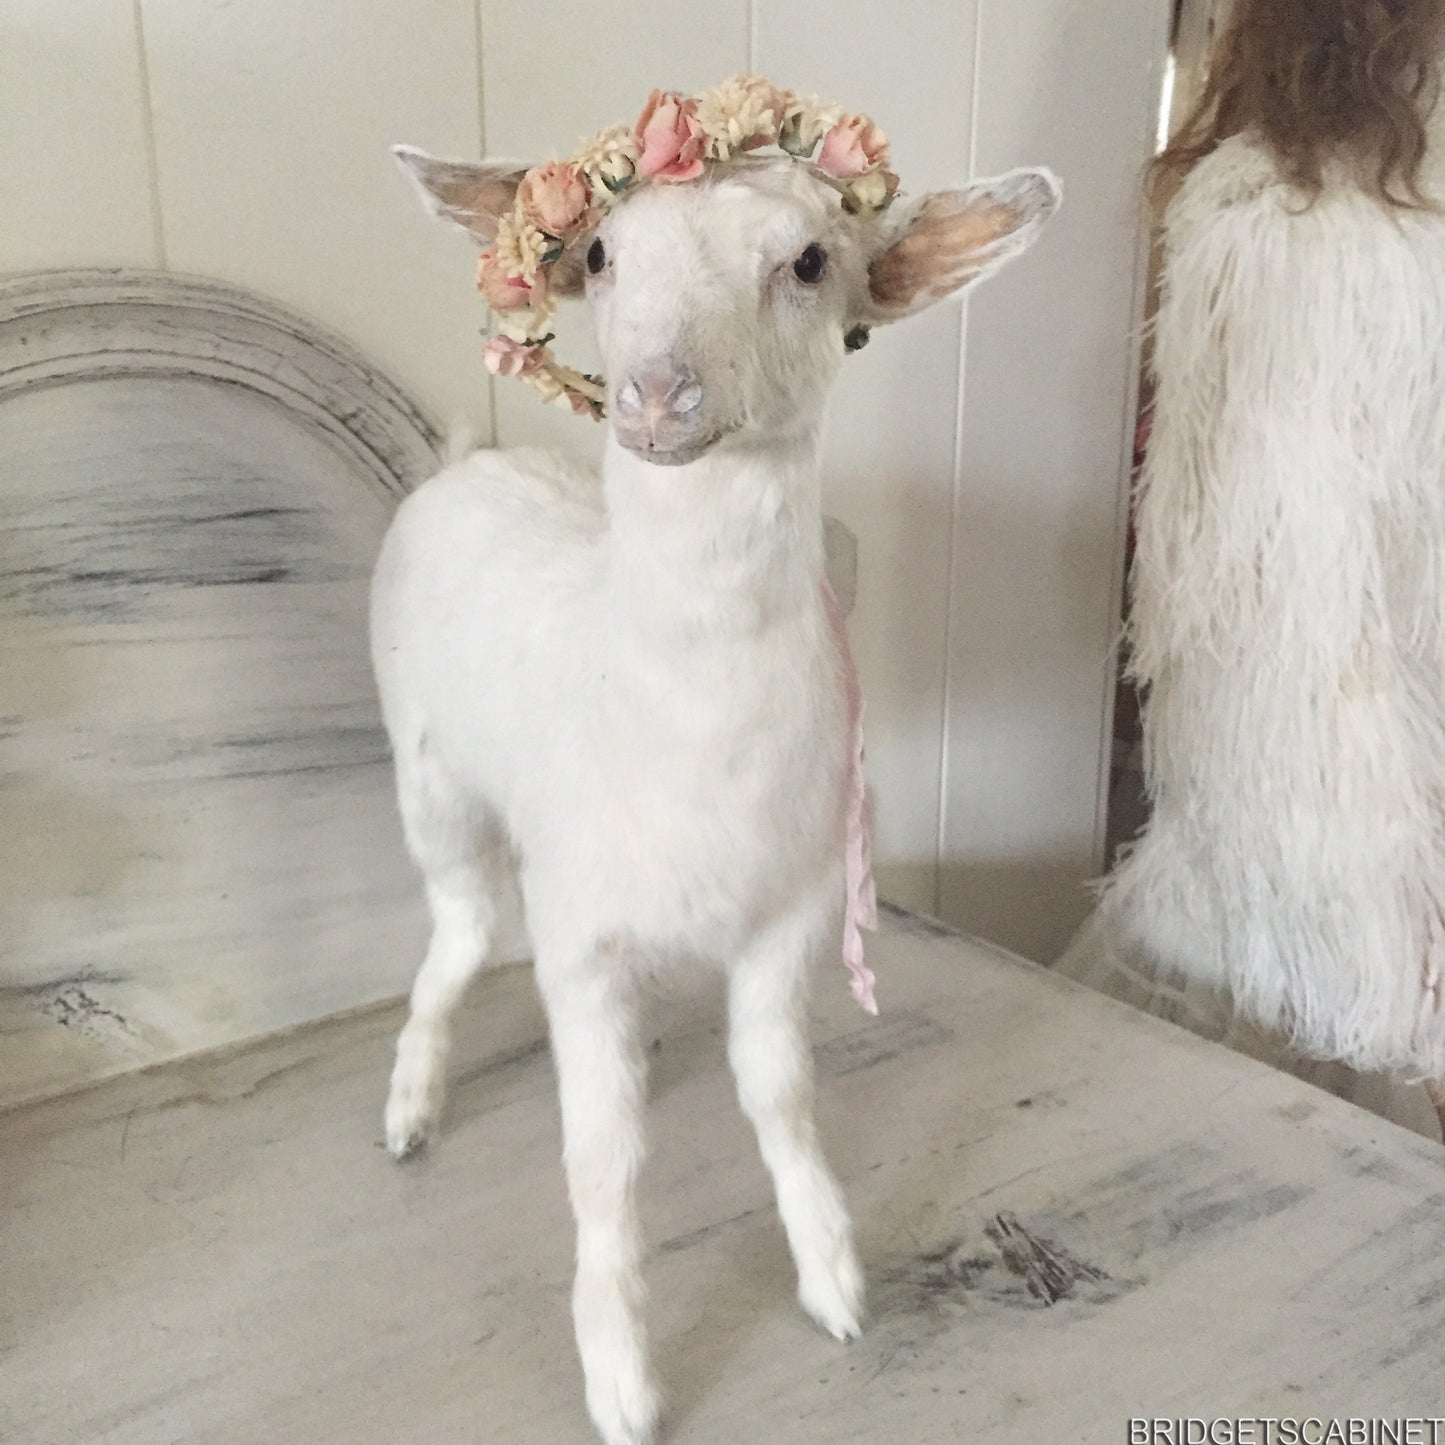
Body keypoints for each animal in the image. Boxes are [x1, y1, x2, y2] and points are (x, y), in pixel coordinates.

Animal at [377, 145, 1059, 1445]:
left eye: (808, 261)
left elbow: (780, 1094)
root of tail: (466, 457)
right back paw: (408, 1112)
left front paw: (834, 1281)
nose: (655, 394)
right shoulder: (581, 935)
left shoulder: (790, 912)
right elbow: (603, 1156)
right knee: (458, 929)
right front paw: (621, 1382)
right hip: (427, 773)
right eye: (598, 252)